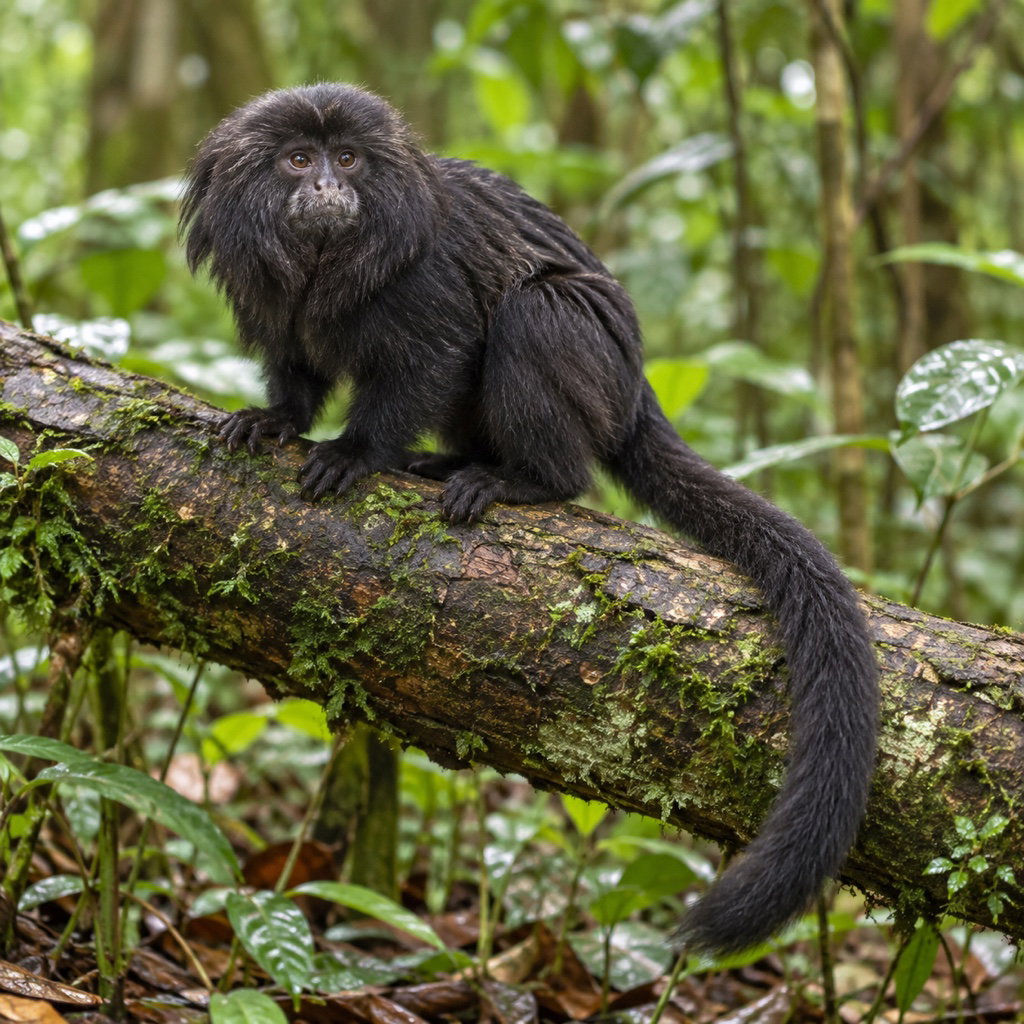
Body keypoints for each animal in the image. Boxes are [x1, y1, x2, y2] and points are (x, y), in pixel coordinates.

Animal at [180, 83, 879, 957]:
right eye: (297, 161)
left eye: (348, 160)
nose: (328, 190)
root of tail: (635, 389)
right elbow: (296, 364)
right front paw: (276, 420)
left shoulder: (422, 281)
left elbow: (428, 360)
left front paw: (356, 452)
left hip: (592, 367)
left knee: (534, 313)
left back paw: (525, 480)